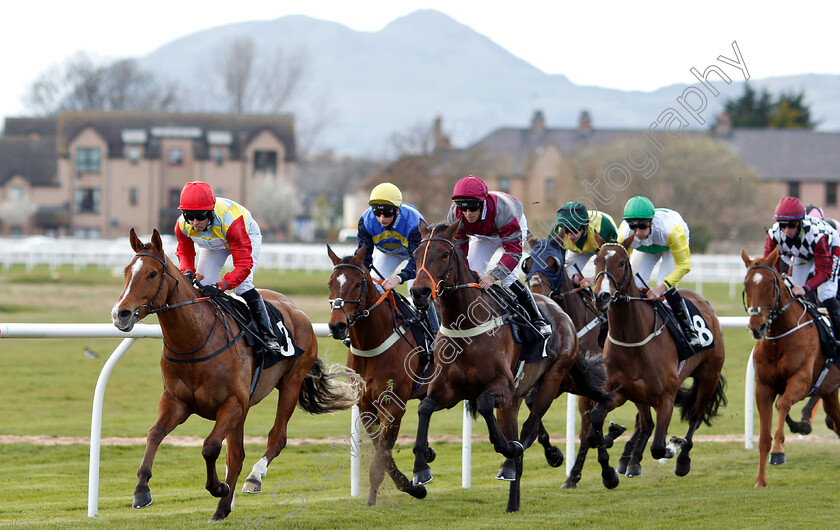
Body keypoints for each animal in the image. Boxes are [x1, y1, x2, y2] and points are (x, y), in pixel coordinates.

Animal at [111, 229, 360, 516]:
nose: (120, 314)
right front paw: (141, 490)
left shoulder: (231, 404)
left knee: (277, 438)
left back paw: (253, 479)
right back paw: (222, 510)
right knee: (237, 454)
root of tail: (296, 309)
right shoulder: (177, 402)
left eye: (152, 274)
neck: (195, 340)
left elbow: (210, 446)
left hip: (291, 383)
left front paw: (218, 487)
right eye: (126, 271)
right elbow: (154, 434)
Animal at [324, 243, 434, 504]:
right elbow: (381, 451)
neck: (370, 343)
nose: (337, 326)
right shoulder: (365, 404)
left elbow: (383, 452)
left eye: (357, 284)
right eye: (330, 283)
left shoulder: (394, 403)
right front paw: (411, 486)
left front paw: (374, 499)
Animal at [408, 221, 612, 510]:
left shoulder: (502, 386)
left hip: (552, 380)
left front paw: (507, 448)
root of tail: (563, 316)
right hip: (538, 392)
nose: (419, 292)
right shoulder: (449, 390)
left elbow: (484, 404)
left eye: (444, 255)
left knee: (531, 429)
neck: (466, 327)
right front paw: (421, 467)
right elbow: (424, 408)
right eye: (416, 255)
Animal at [584, 236, 728, 478]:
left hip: (709, 375)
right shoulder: (620, 391)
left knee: (695, 416)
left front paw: (673, 446)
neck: (633, 339)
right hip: (641, 394)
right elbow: (596, 420)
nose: (601, 296)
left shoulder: (666, 397)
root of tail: (705, 303)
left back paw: (682, 459)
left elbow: (659, 447)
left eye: (621, 263)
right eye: (596, 261)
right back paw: (630, 460)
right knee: (646, 423)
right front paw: (609, 466)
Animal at [740, 245, 840, 484]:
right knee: (837, 422)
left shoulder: (801, 381)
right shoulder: (764, 387)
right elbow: (764, 435)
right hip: (830, 392)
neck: (779, 339)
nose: (756, 327)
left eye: (770, 284)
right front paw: (760, 480)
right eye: (746, 285)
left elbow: (783, 404)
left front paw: (778, 452)